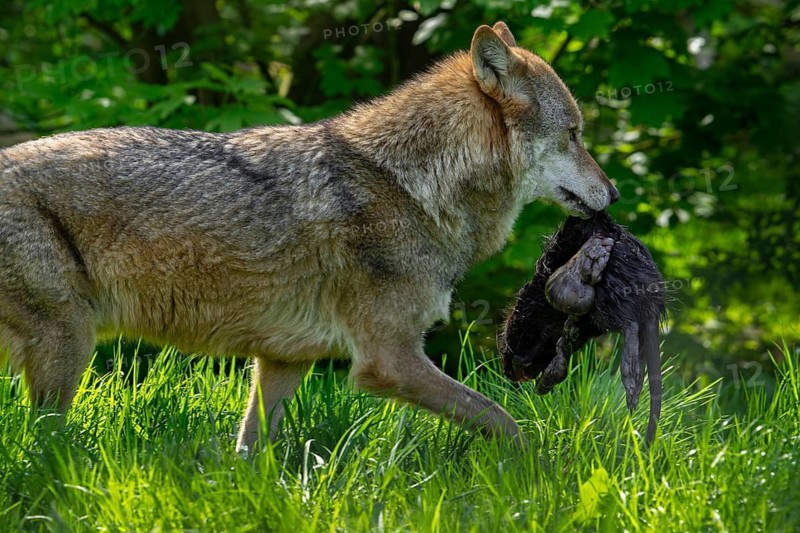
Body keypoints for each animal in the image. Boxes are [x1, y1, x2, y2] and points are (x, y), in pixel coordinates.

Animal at [0, 22, 618, 451]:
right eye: (574, 134)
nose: (613, 192)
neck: (413, 183)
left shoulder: (283, 360)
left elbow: (249, 454)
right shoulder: (387, 360)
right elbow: (506, 421)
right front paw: (537, 474)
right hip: (69, 346)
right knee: (45, 447)